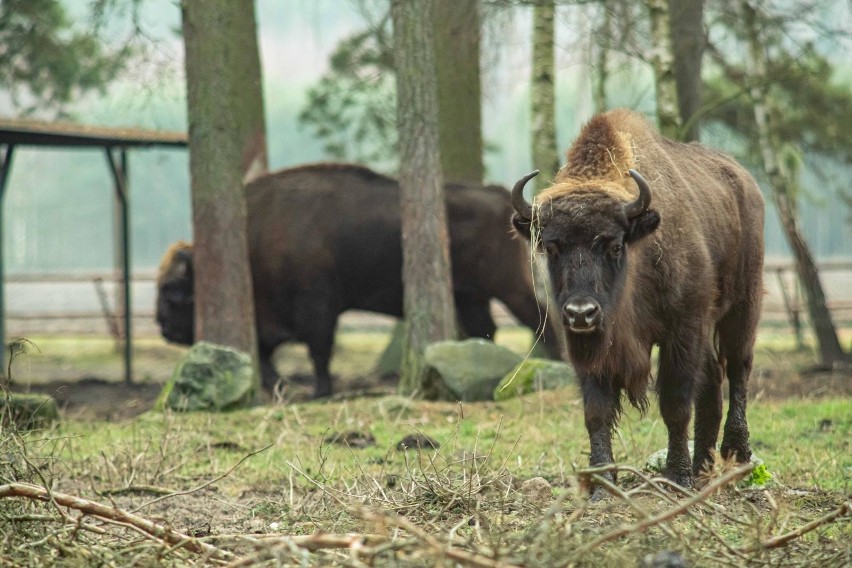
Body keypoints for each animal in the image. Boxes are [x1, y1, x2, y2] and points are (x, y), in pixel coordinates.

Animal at [156, 162, 564, 398]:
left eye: (175, 290)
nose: (164, 328)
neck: (258, 236)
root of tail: (500, 197)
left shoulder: (316, 304)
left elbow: (318, 349)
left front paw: (320, 391)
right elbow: (267, 354)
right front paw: (282, 387)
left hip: (509, 287)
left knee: (541, 319)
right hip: (470, 297)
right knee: (486, 331)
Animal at [510, 108, 764, 490]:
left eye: (615, 245)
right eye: (552, 248)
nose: (581, 313)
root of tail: (747, 182)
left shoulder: (682, 330)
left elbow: (675, 404)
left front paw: (677, 477)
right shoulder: (585, 347)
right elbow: (596, 411)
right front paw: (602, 483)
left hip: (741, 309)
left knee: (737, 370)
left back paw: (737, 456)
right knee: (711, 386)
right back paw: (703, 468)